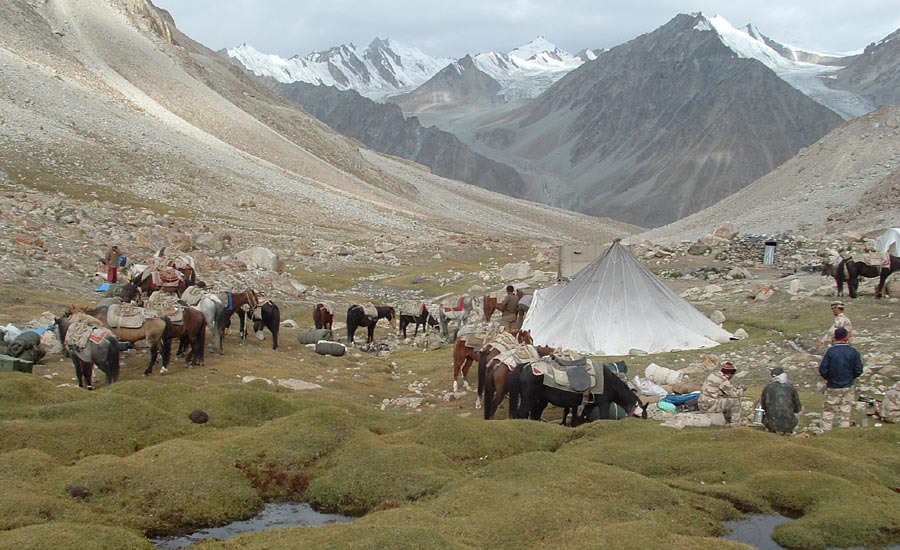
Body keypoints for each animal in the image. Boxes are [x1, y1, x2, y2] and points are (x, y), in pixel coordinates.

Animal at [510, 364, 644, 430]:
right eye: (642, 416)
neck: (608, 382)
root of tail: (525, 367)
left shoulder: (590, 405)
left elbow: (582, 418)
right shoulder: (604, 404)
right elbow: (604, 418)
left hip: (540, 400)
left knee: (534, 415)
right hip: (529, 399)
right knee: (522, 413)